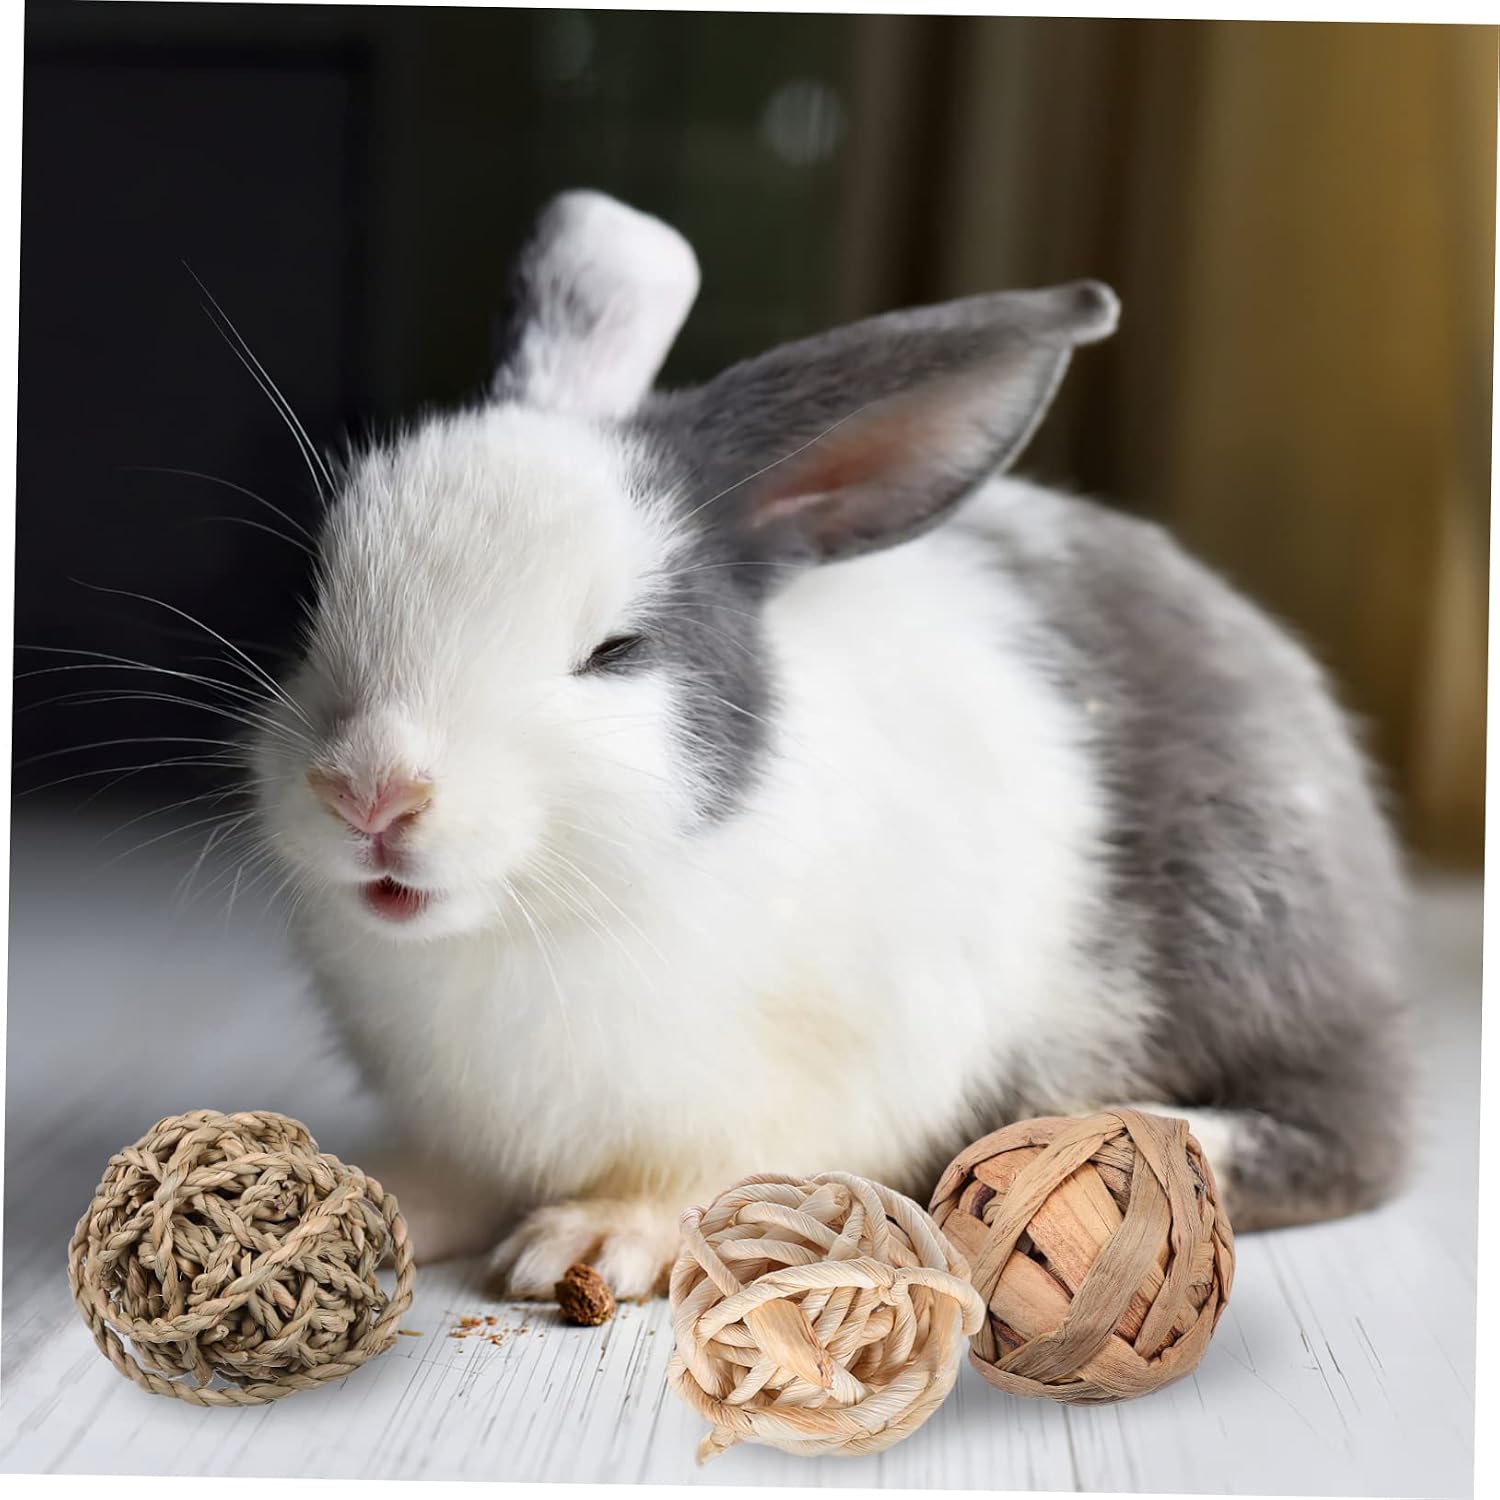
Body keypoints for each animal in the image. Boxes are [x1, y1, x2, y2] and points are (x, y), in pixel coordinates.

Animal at [249, 190, 1412, 1300]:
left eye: (616, 650)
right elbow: (446, 1176)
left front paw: (592, 1241)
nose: (370, 793)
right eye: (313, 607)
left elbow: (698, 1177)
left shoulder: (808, 1084)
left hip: (1248, 945)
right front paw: (368, 1193)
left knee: (1360, 1139)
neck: (531, 923)